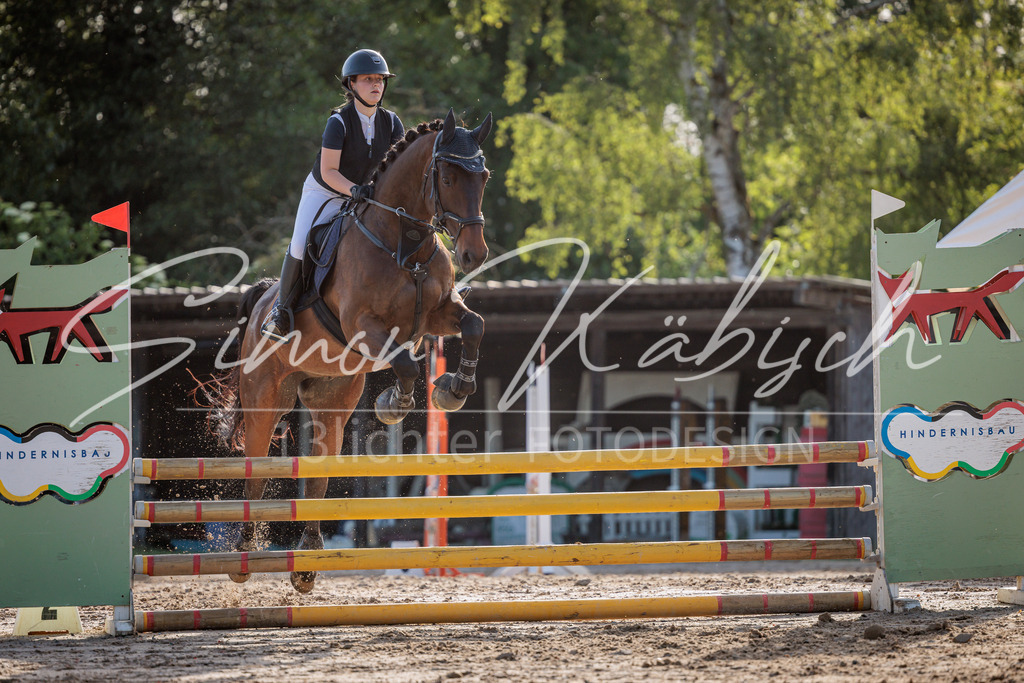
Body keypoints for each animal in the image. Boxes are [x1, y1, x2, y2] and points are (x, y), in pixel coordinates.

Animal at [203, 109, 491, 592]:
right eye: (448, 176)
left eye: (483, 176)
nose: (474, 254)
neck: (404, 240)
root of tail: (262, 298)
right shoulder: (362, 327)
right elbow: (404, 363)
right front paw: (395, 403)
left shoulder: (437, 315)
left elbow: (474, 325)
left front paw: (453, 388)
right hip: (265, 401)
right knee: (255, 472)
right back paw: (244, 554)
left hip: (331, 401)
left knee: (318, 472)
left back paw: (306, 561)